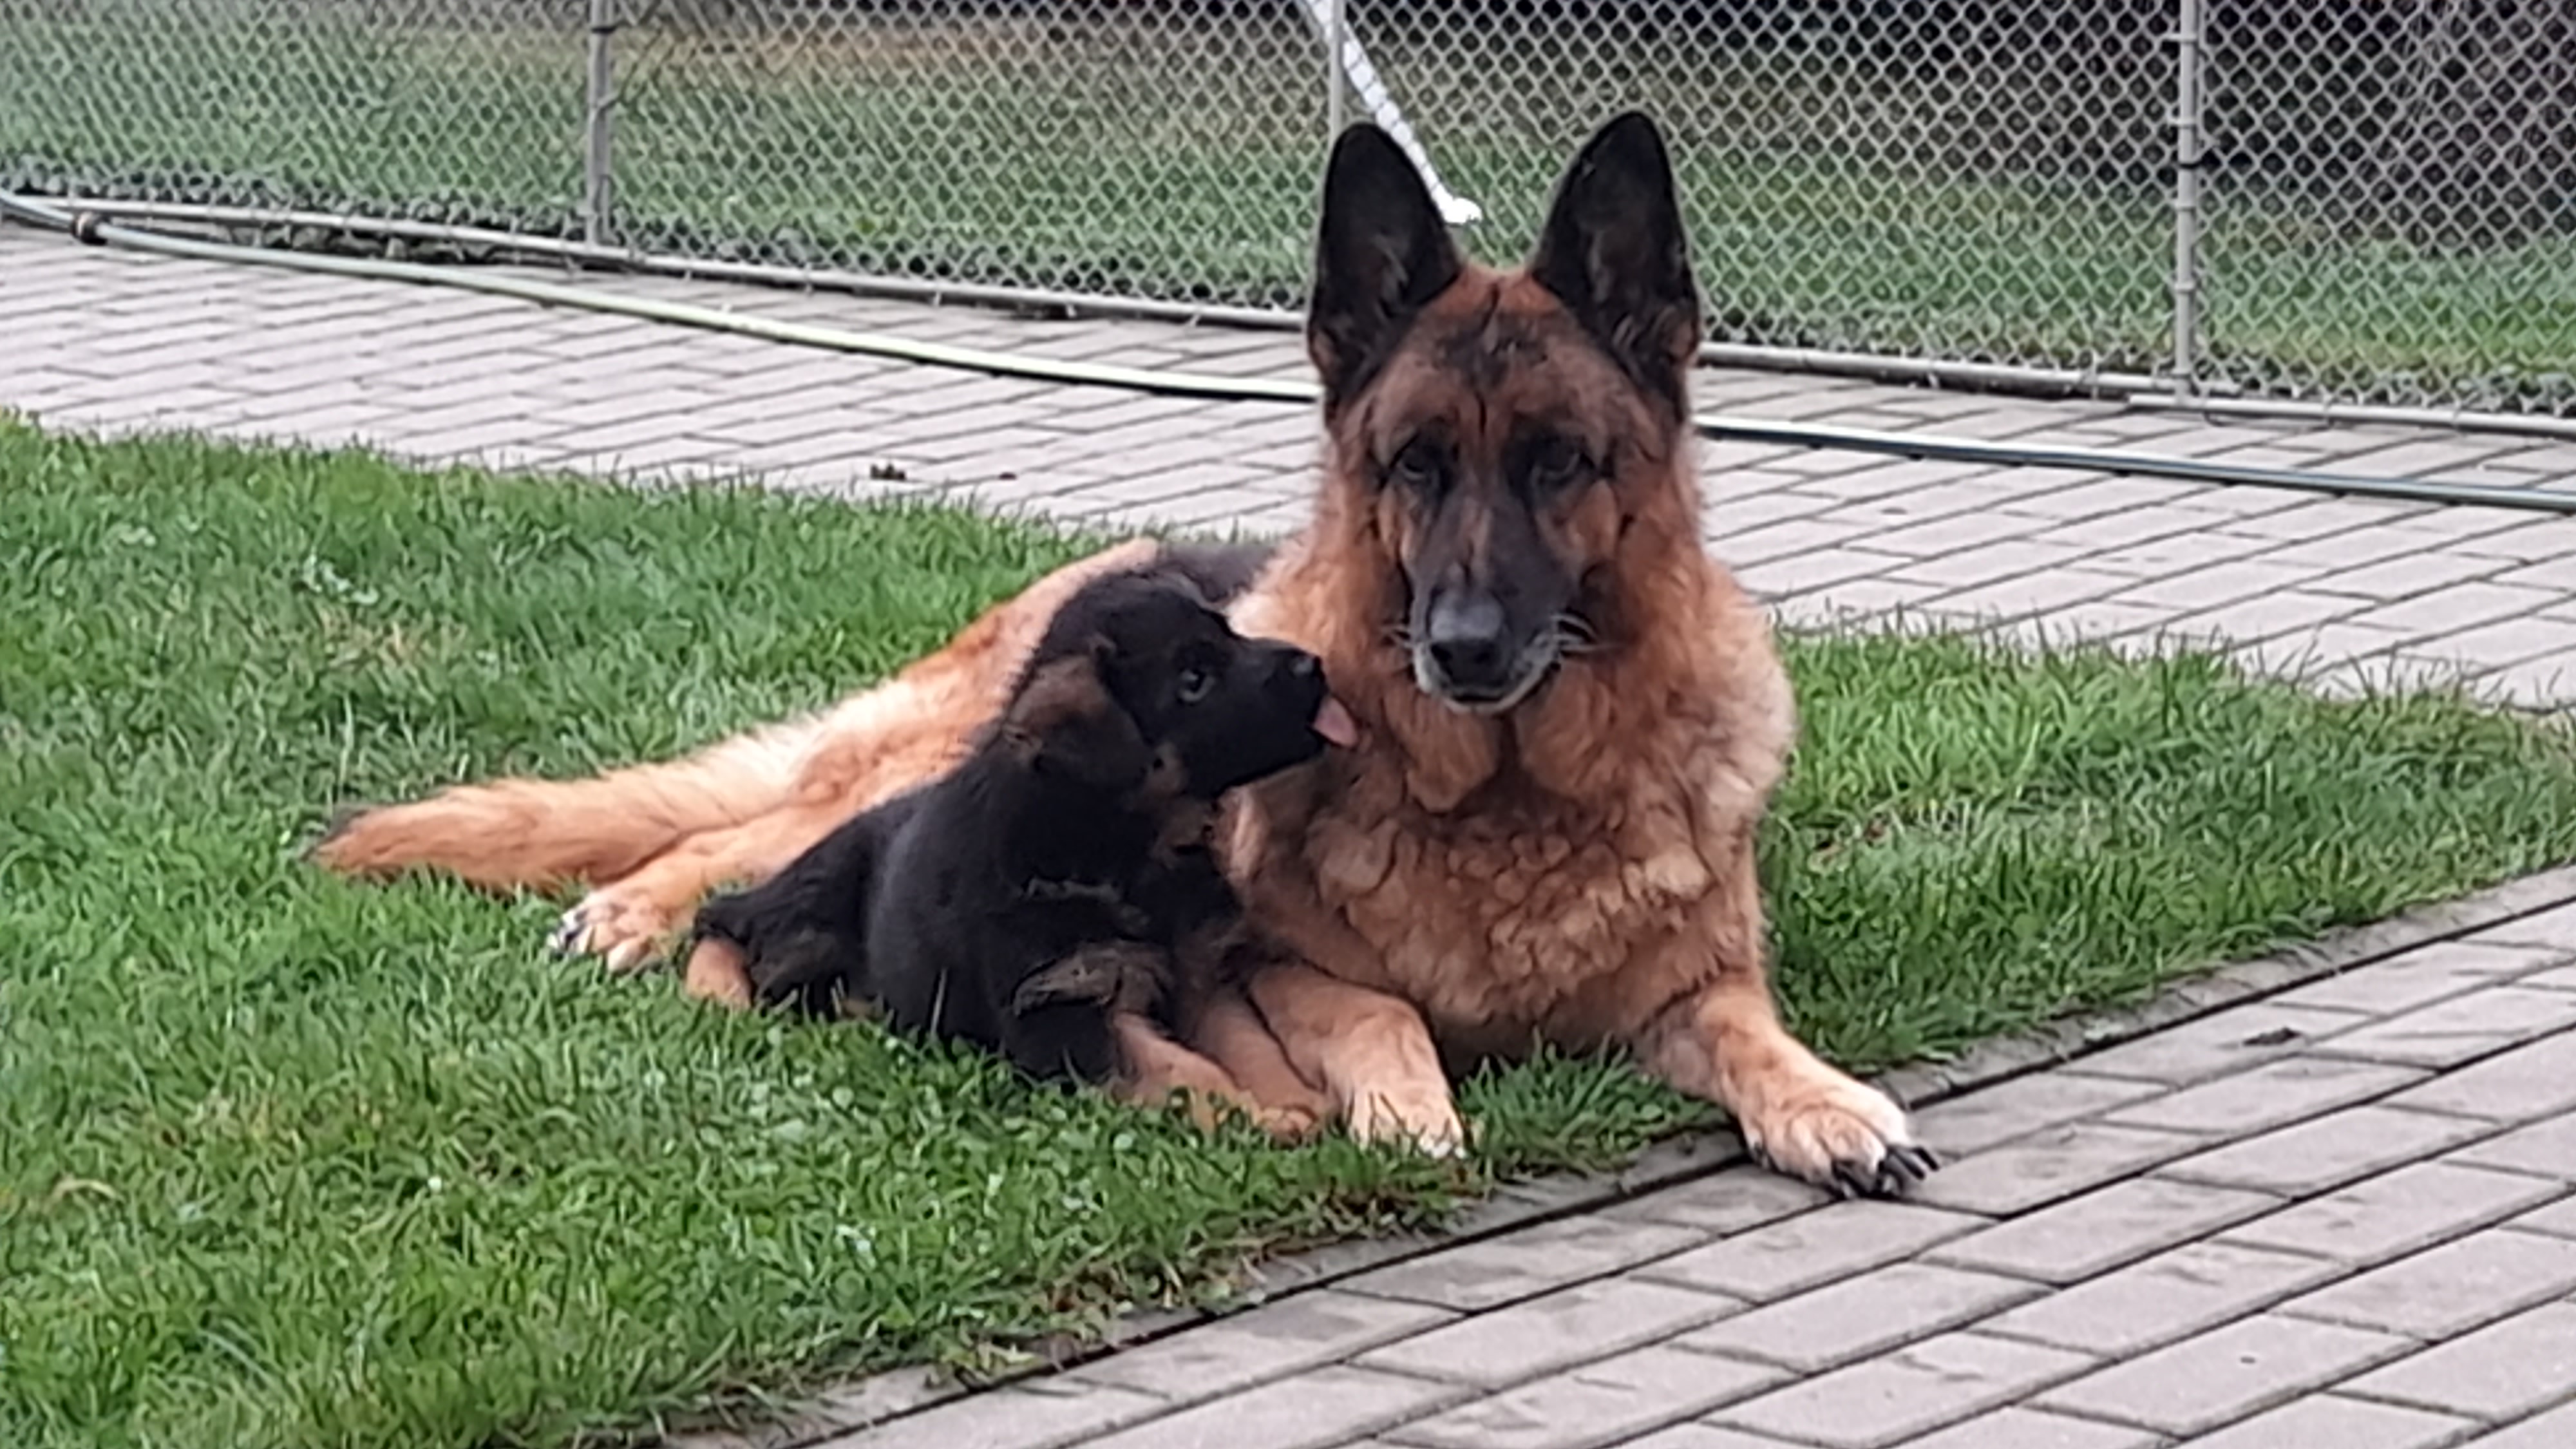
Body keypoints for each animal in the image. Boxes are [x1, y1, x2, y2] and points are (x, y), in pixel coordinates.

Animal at [682, 559, 1354, 1138]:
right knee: (735, 937)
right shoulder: (1065, 1007)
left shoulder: (1196, 975)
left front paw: (1292, 1102)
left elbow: (1245, 1044)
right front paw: (1257, 1117)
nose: (1315, 666)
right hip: (813, 920)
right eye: (1193, 680)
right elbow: (1182, 1070)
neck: (1126, 854)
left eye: (1229, 633)